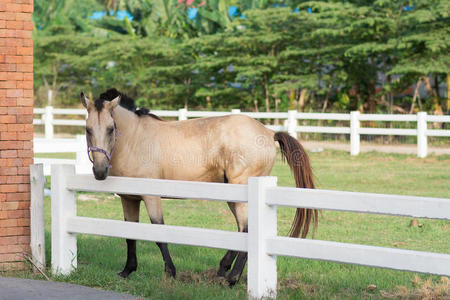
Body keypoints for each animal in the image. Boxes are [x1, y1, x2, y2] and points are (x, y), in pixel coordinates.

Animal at [80, 88, 316, 286]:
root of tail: (268, 132)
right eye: (88, 129)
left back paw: (232, 278)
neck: (135, 140)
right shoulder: (128, 198)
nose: (100, 171)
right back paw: (223, 270)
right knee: (242, 229)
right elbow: (130, 234)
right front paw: (127, 271)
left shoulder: (151, 197)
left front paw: (170, 272)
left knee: (247, 229)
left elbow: (158, 232)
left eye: (111, 128)